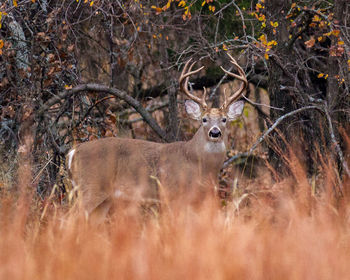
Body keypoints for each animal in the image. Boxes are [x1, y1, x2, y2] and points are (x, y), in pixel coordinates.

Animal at [65, 53, 246, 222]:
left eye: (224, 119)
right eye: (204, 119)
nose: (215, 133)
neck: (199, 163)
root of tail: (73, 152)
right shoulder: (172, 193)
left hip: (102, 198)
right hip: (90, 187)